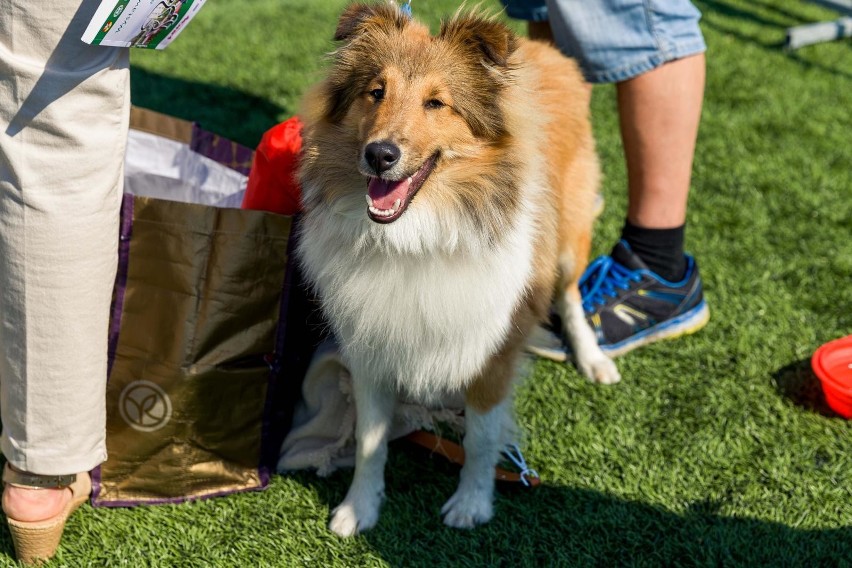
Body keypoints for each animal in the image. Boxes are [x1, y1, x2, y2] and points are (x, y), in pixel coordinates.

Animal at [292, 1, 620, 536]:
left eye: (436, 103)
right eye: (375, 92)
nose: (379, 155)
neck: (413, 237)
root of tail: (547, 53)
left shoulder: (492, 353)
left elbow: (481, 439)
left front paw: (471, 504)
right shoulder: (372, 347)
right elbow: (368, 440)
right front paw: (358, 509)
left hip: (570, 236)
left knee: (571, 297)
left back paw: (594, 360)